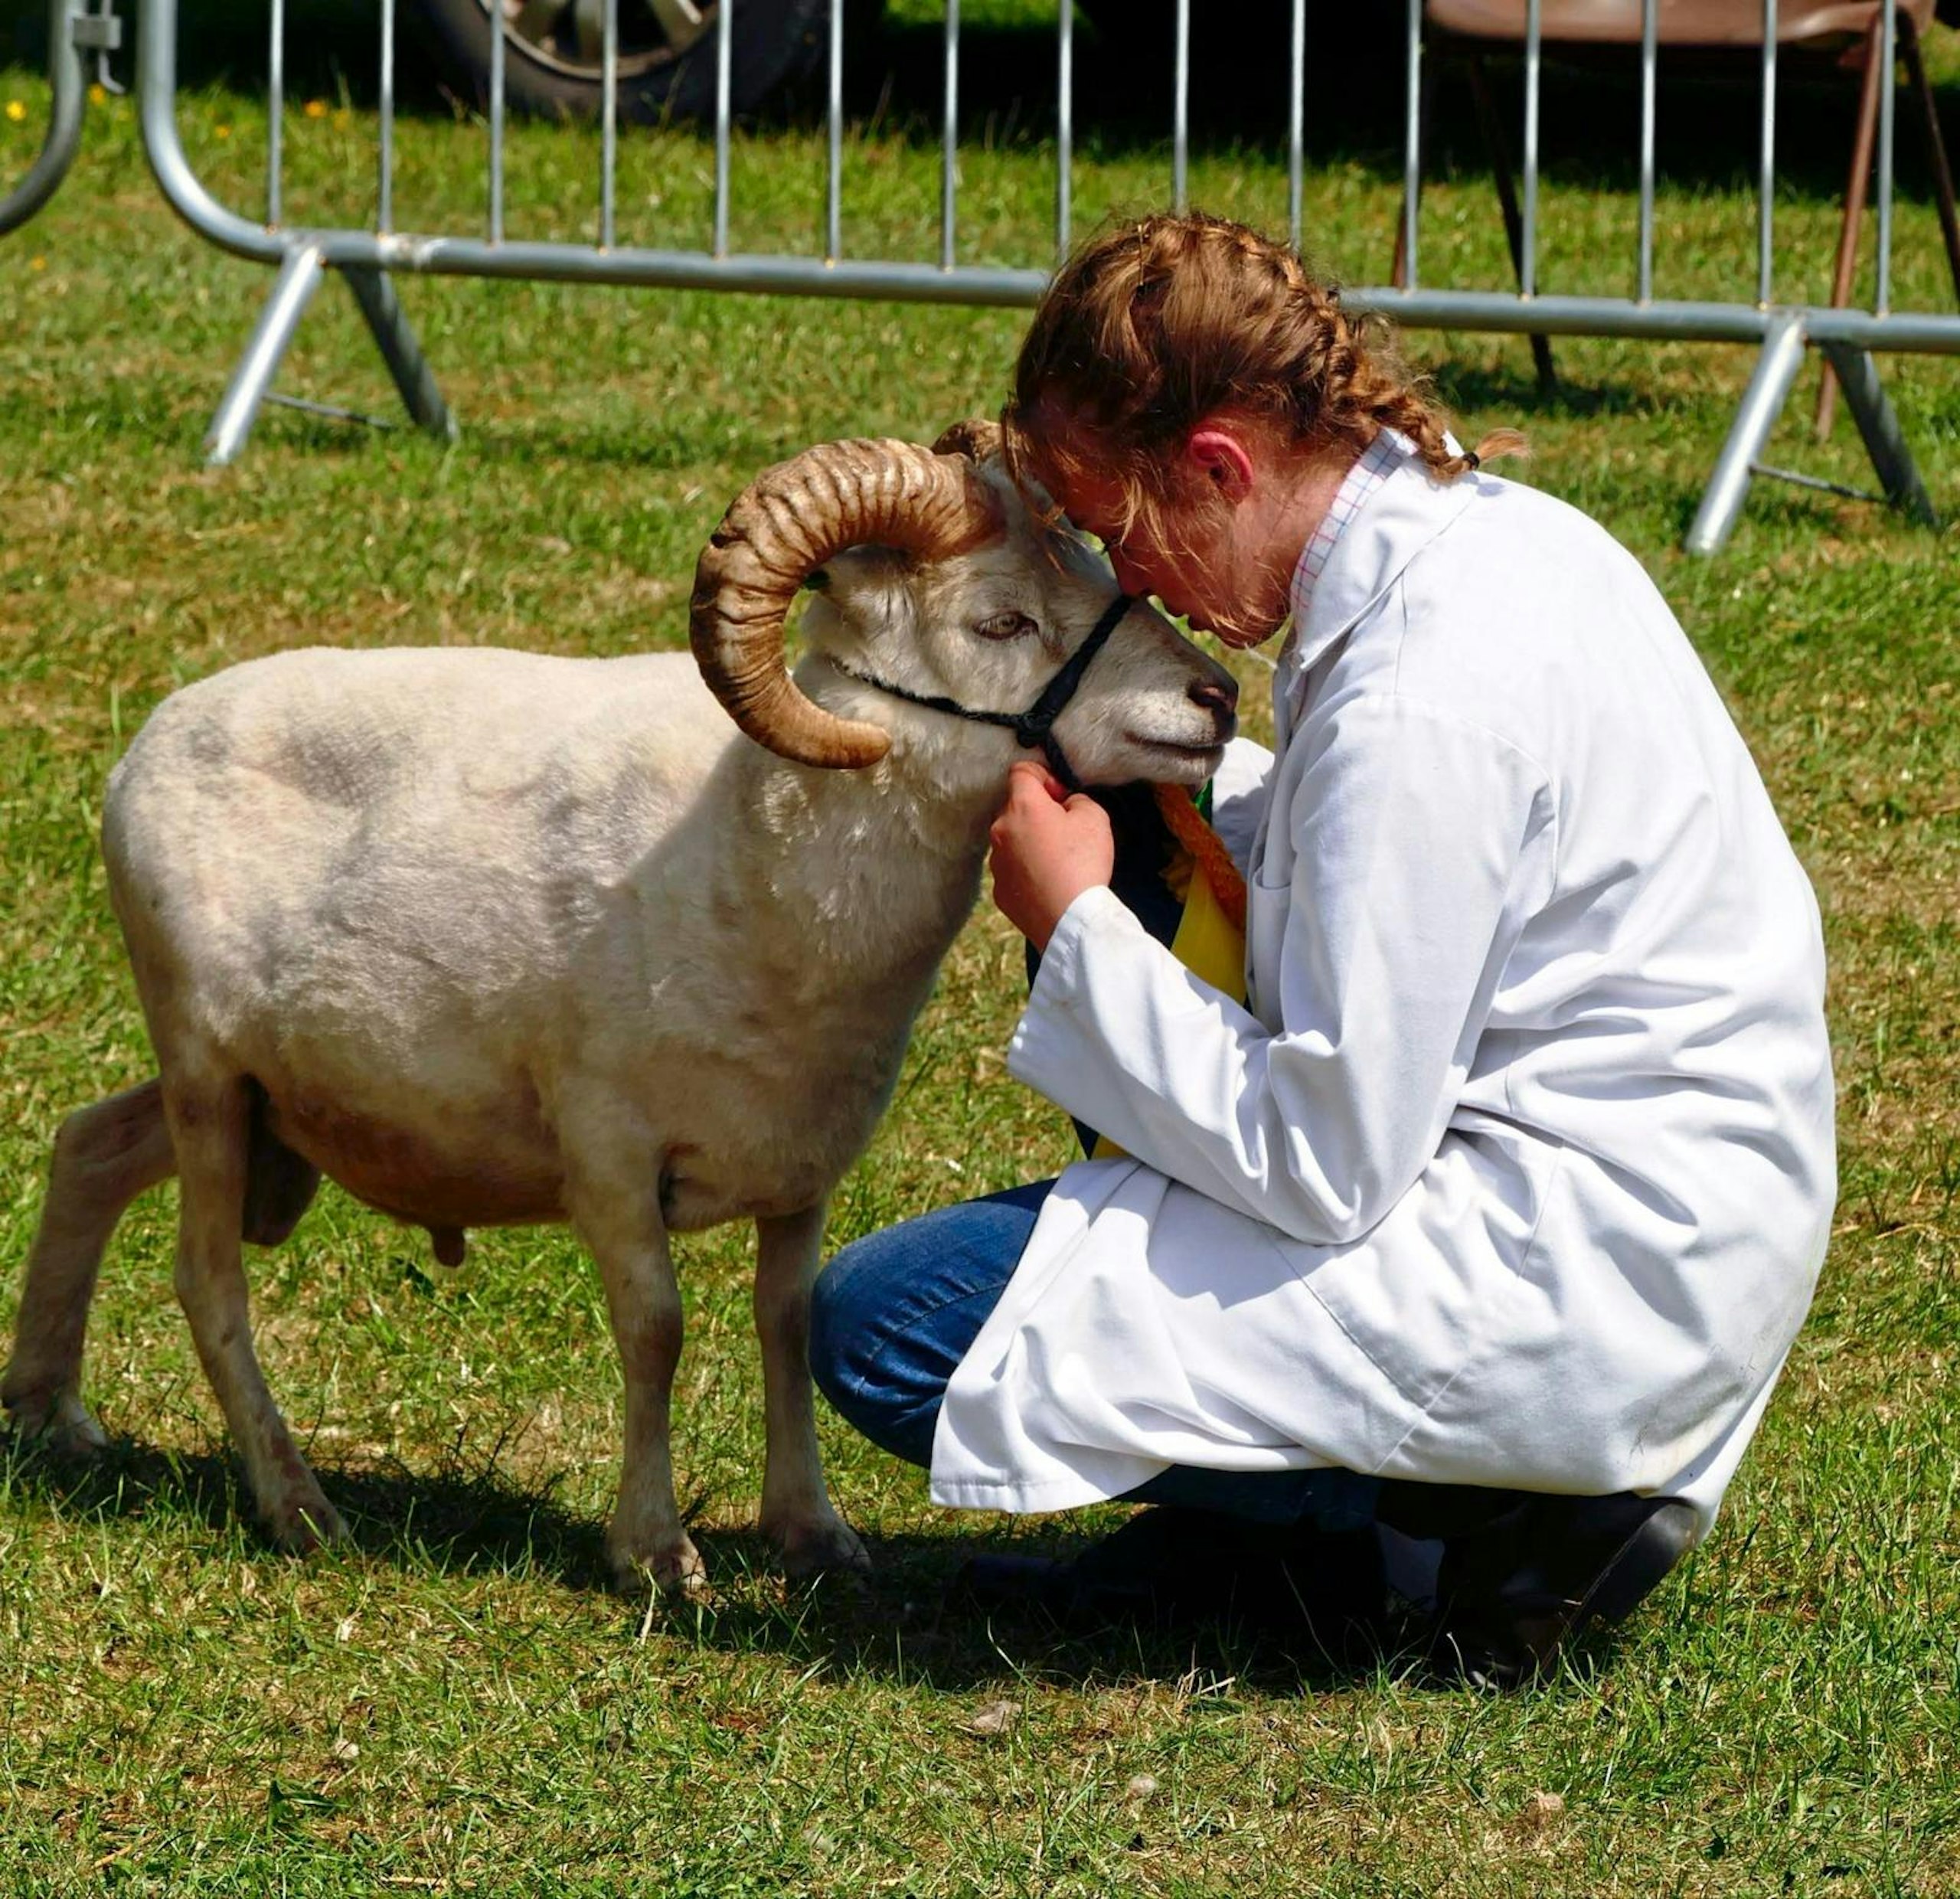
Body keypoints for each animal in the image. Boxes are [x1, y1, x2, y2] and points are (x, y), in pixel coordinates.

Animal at [3, 427, 1239, 1590]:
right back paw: (296, 1504)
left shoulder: (805, 1156)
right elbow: (657, 1329)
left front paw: (813, 1531)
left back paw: (48, 1413)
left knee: (88, 1146)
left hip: (251, 1088)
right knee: (207, 1281)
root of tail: (152, 736)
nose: (1217, 697)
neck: (753, 851)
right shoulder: (605, 1149)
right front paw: (652, 1549)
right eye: (1000, 623)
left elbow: (785, 1324)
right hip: (206, 1069)